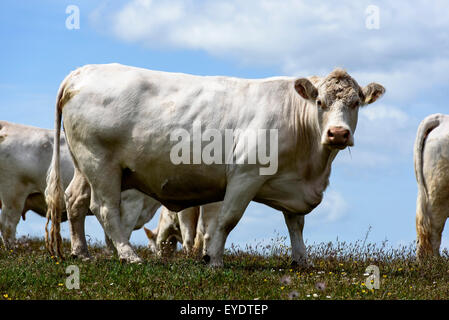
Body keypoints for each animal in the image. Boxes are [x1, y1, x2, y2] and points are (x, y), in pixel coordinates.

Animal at [44, 63, 382, 266]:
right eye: (320, 103)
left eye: (356, 103)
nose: (338, 133)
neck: (311, 167)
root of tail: (82, 72)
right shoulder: (246, 174)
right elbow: (227, 220)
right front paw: (213, 260)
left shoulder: (293, 184)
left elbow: (295, 224)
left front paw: (301, 261)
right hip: (100, 163)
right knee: (104, 208)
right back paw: (129, 255)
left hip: (84, 165)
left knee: (75, 201)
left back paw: (81, 253)